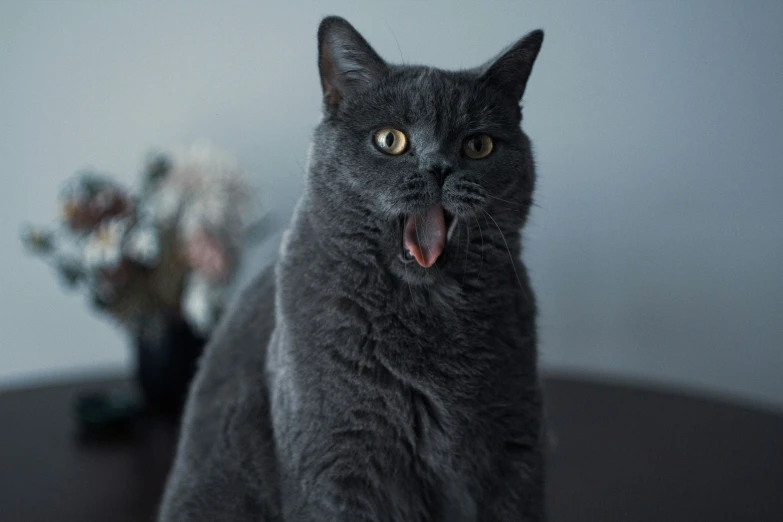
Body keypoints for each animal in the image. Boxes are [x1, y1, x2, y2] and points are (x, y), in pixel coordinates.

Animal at [161, 16, 544, 520]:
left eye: (478, 145)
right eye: (390, 140)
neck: (427, 313)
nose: (439, 167)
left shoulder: (514, 452)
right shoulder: (339, 464)